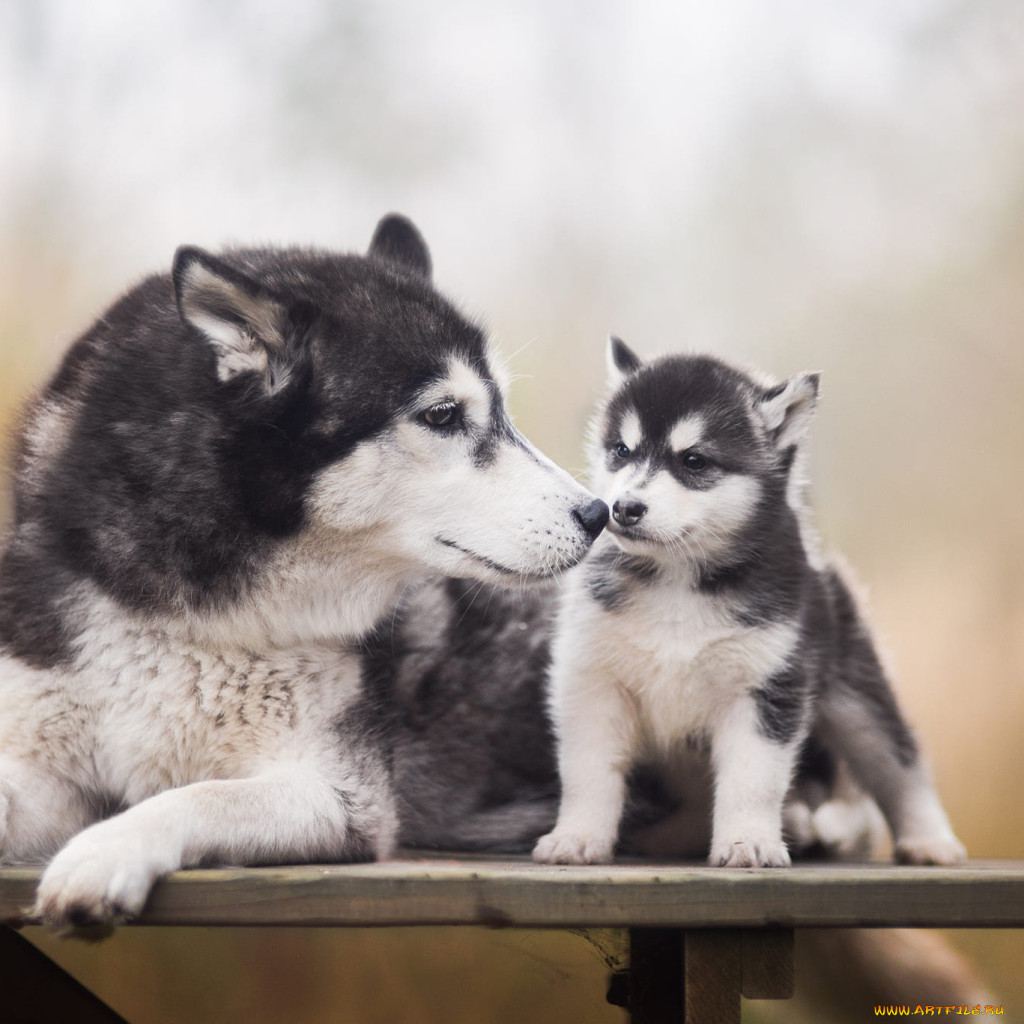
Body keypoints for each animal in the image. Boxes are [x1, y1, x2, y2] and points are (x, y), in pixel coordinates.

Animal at [0, 214, 606, 929]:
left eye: (503, 410)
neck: (186, 616)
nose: (598, 514)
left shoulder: (344, 796)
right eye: (443, 415)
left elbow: (198, 795)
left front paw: (102, 856)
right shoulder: (45, 766)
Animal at [532, 339, 962, 868]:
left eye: (694, 461)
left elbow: (751, 779)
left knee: (896, 760)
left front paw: (748, 842)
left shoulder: (765, 689)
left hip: (856, 696)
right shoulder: (592, 681)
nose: (624, 508)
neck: (678, 580)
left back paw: (930, 840)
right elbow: (590, 770)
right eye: (621, 451)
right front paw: (577, 836)